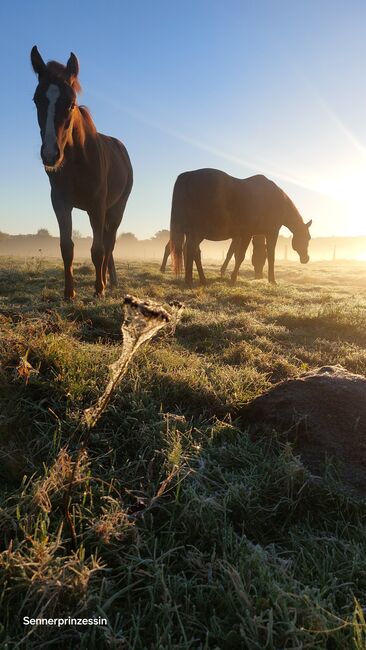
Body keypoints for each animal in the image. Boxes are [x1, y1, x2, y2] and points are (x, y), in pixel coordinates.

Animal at [30, 46, 133, 298]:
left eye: (71, 103)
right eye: (37, 100)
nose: (50, 154)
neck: (77, 161)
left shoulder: (97, 206)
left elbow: (98, 250)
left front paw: (99, 289)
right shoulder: (60, 203)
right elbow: (67, 247)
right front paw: (69, 292)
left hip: (116, 209)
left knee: (109, 243)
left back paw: (107, 281)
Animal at [171, 168, 312, 284]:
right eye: (308, 238)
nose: (306, 259)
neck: (275, 200)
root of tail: (188, 175)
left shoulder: (243, 235)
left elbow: (235, 254)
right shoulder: (265, 233)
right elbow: (256, 256)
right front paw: (271, 280)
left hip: (194, 233)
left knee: (193, 252)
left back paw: (199, 279)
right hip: (197, 232)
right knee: (192, 250)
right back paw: (190, 280)